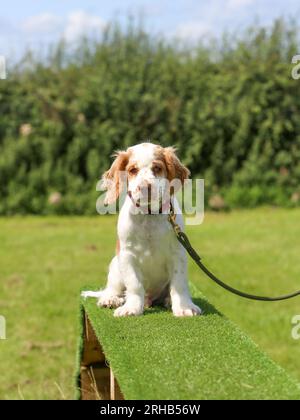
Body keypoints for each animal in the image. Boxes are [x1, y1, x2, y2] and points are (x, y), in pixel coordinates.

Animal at [82, 143, 202, 316]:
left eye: (157, 168)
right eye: (132, 170)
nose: (145, 187)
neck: (149, 215)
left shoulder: (177, 254)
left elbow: (179, 284)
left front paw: (184, 307)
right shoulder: (127, 255)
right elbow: (134, 284)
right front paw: (132, 308)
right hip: (115, 265)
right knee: (112, 288)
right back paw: (110, 299)